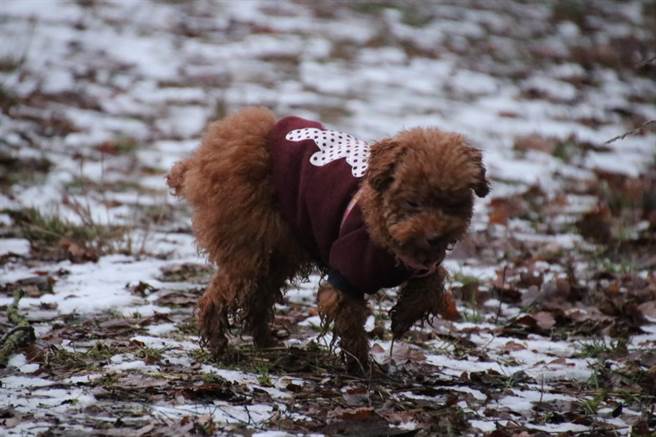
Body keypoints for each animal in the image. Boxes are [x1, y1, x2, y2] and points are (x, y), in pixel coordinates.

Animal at [167, 106, 490, 372]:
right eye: (413, 203)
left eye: (453, 205)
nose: (435, 237)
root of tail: (205, 155)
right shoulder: (346, 273)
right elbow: (350, 322)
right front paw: (362, 366)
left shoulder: (421, 264)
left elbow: (432, 283)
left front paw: (403, 318)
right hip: (248, 243)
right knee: (218, 296)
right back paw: (219, 346)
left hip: (278, 248)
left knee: (259, 298)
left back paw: (267, 342)